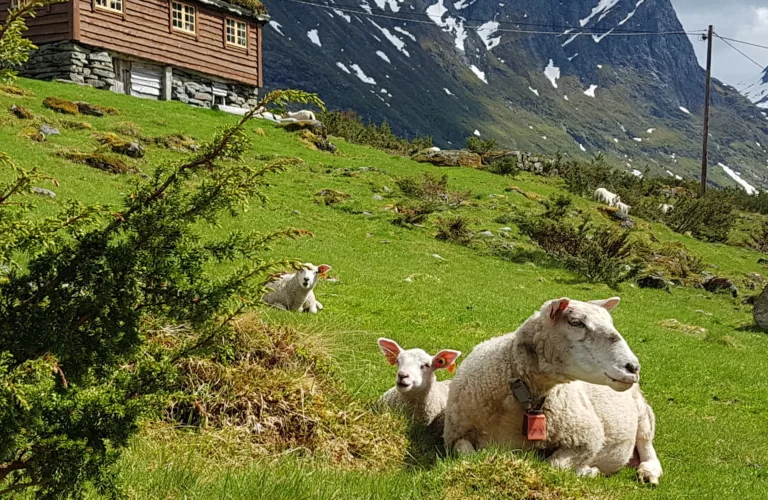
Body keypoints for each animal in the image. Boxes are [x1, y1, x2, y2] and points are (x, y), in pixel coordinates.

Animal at [443, 297, 663, 485]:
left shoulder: (587, 437)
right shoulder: (456, 434)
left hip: (643, 414)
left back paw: (648, 471)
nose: (633, 368)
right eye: (575, 322)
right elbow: (467, 454)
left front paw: (587, 471)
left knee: (647, 445)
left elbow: (553, 465)